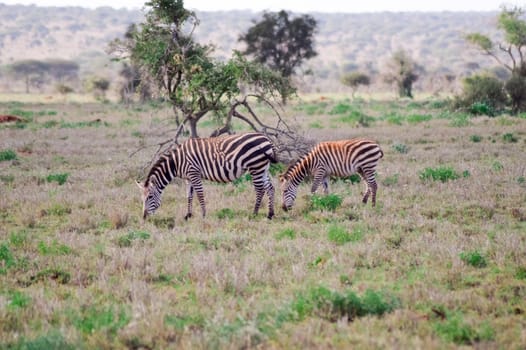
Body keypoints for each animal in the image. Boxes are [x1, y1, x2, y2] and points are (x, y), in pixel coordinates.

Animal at [137, 133, 280, 220]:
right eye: (141, 198)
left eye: (150, 197)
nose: (144, 217)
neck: (176, 163)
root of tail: (267, 139)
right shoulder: (188, 178)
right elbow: (189, 196)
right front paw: (188, 215)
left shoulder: (194, 173)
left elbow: (200, 194)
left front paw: (203, 215)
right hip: (263, 168)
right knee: (270, 188)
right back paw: (270, 214)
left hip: (255, 167)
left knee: (260, 190)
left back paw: (254, 213)